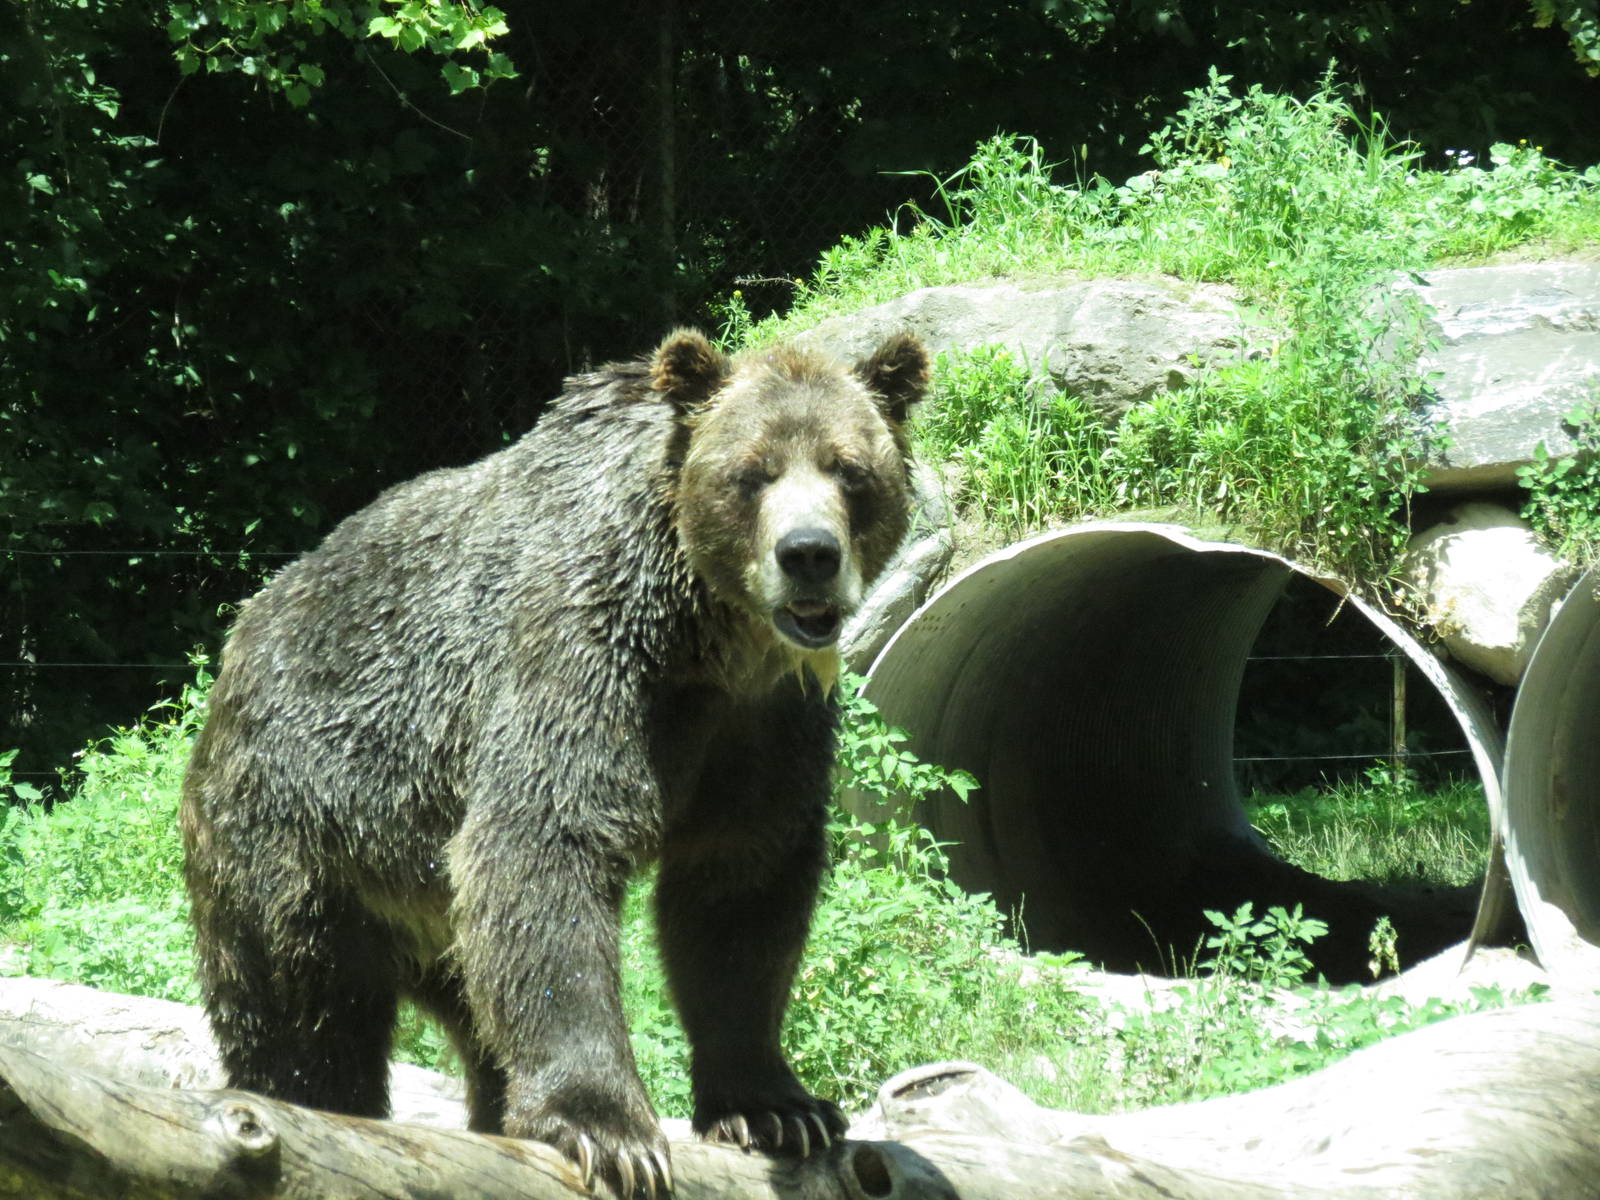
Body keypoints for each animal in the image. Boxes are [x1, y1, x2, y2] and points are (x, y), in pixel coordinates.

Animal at [179, 328, 930, 1199]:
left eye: (849, 469)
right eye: (752, 472)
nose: (808, 553)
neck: (710, 638)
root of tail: (241, 635)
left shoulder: (762, 724)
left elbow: (741, 892)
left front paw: (776, 1108)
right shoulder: (582, 650)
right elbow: (543, 847)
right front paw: (608, 1129)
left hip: (434, 913)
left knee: (478, 1011)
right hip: (300, 830)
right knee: (302, 1018)